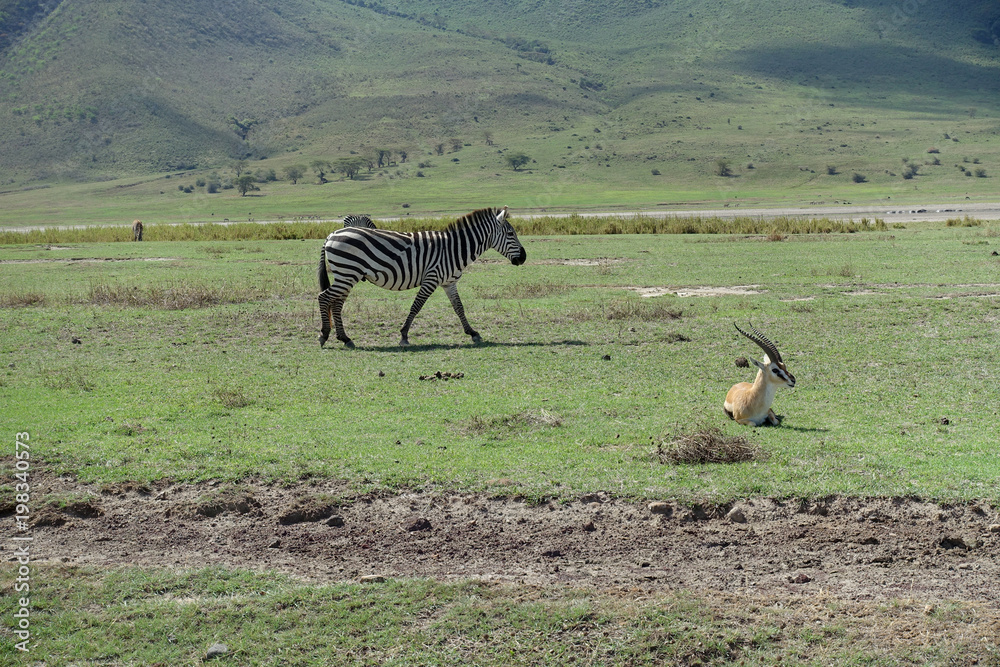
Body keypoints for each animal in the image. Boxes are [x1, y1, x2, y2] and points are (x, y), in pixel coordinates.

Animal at [318, 206, 526, 348]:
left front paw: (473, 333)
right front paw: (403, 335)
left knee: (336, 303)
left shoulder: (449, 282)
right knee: (324, 297)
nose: (524, 257)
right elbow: (416, 306)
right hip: (347, 273)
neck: (453, 249)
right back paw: (324, 335)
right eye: (510, 233)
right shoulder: (431, 278)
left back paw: (345, 338)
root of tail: (332, 233)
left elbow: (459, 307)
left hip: (346, 275)